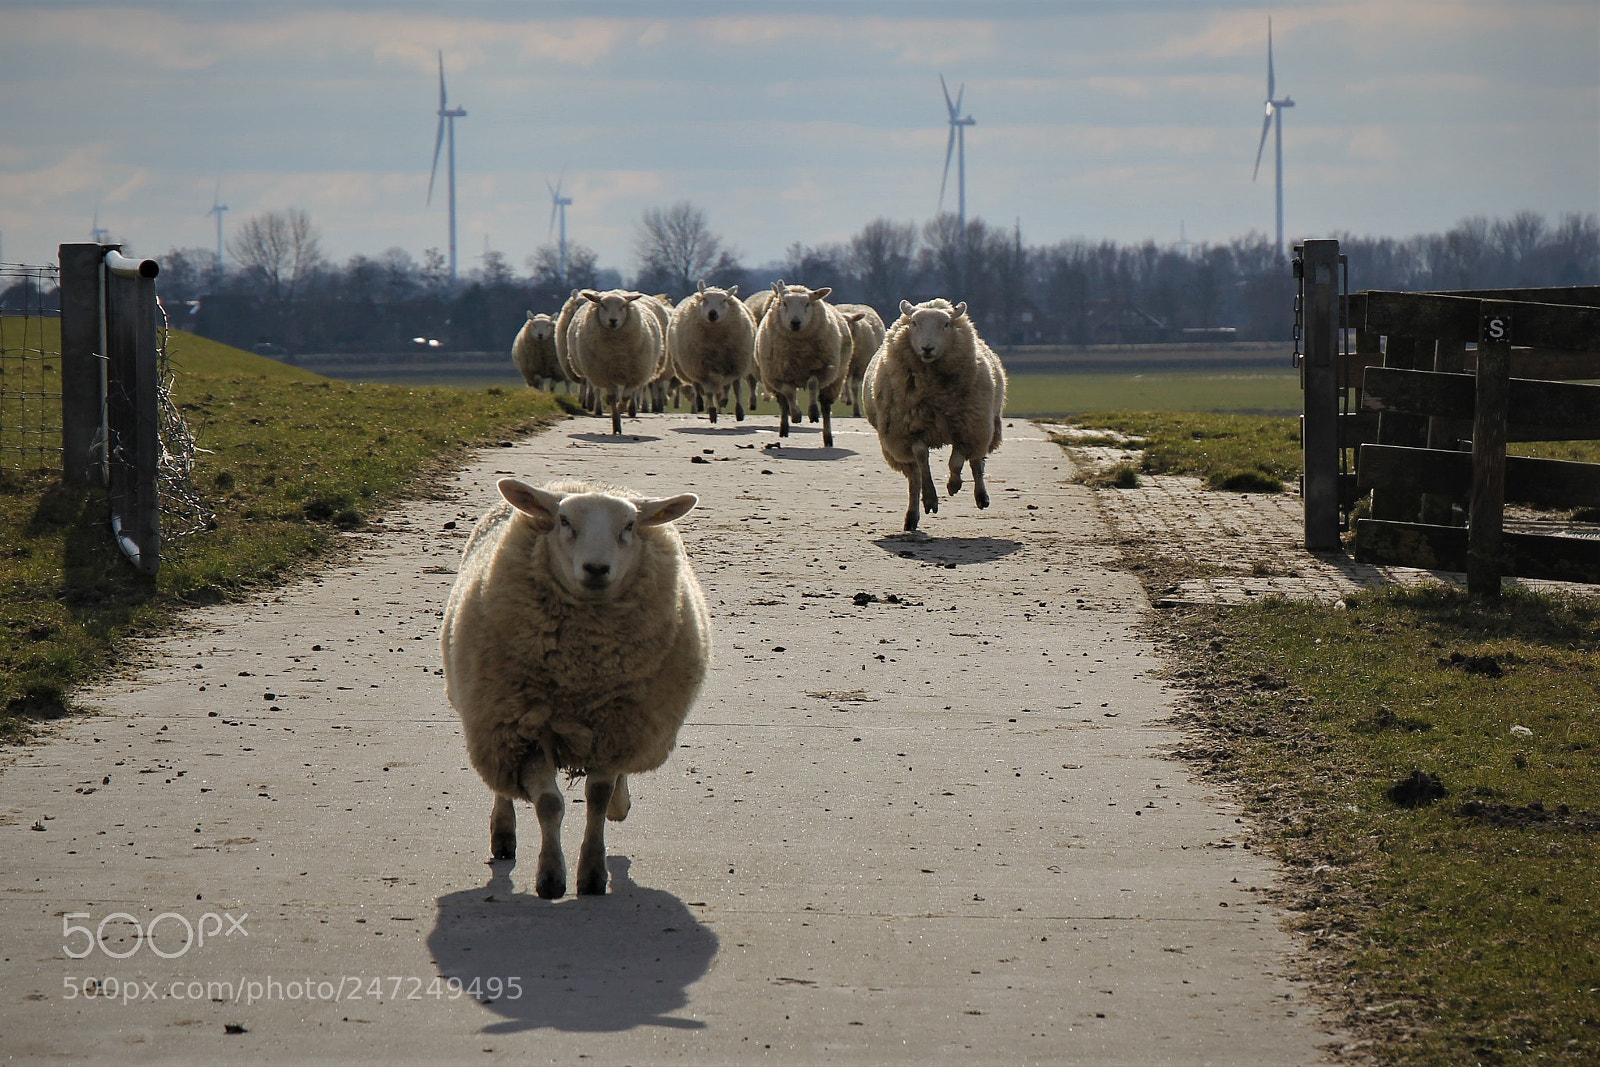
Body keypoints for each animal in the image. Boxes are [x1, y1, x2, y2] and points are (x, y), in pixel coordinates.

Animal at [441, 477, 711, 898]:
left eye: (629, 526)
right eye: (564, 521)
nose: (596, 568)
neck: (583, 672)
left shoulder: (616, 727)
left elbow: (598, 798)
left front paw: (592, 874)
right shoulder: (523, 726)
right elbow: (549, 804)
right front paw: (551, 876)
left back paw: (619, 804)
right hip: (491, 714)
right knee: (501, 782)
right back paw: (503, 833)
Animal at [568, 289, 667, 435]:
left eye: (622, 306)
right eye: (602, 305)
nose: (613, 320)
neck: (617, 352)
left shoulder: (634, 375)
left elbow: (624, 398)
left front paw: (620, 413)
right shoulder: (605, 375)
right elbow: (612, 398)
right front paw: (615, 421)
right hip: (596, 371)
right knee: (598, 388)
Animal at [669, 280, 757, 423]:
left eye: (724, 300)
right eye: (704, 299)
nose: (712, 313)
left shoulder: (734, 366)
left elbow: (727, 386)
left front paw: (724, 401)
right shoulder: (701, 369)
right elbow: (709, 392)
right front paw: (712, 412)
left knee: (736, 387)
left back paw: (738, 410)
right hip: (690, 365)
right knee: (697, 385)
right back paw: (700, 403)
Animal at [753, 282, 851, 447]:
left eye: (807, 304)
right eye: (784, 303)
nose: (795, 323)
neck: (797, 351)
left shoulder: (823, 370)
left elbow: (812, 384)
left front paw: (813, 412)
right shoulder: (777, 375)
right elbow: (789, 393)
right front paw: (796, 415)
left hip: (835, 380)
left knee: (826, 408)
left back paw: (827, 437)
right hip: (772, 381)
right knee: (783, 403)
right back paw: (784, 428)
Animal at [862, 298, 1008, 532]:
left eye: (946, 324)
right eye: (914, 323)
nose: (927, 348)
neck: (933, 392)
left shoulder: (965, 428)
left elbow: (956, 461)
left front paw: (954, 484)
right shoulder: (909, 430)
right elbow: (922, 457)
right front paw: (930, 499)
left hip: (982, 426)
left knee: (977, 462)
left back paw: (981, 496)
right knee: (914, 479)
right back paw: (912, 515)